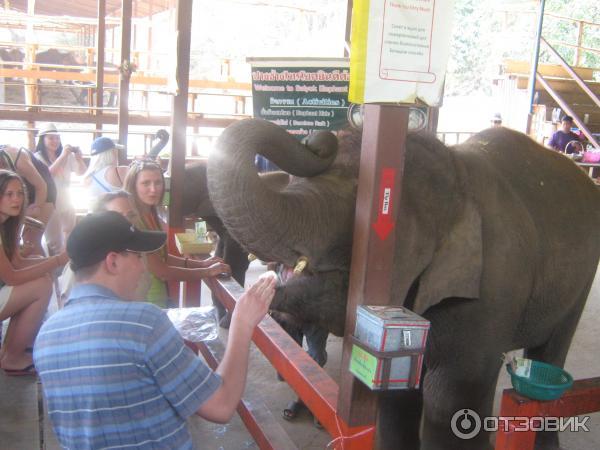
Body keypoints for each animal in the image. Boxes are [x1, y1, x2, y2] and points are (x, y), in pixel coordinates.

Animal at [207, 119, 600, 450]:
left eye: (359, 198)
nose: (318, 140)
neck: (458, 178)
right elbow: (397, 399)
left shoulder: (491, 289)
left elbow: (450, 401)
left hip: (581, 279)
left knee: (552, 351)